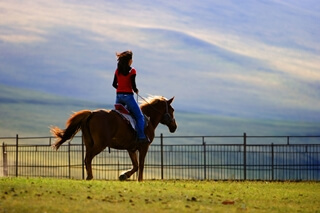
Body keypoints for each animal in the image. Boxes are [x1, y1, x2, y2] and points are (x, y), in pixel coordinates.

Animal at [50, 95, 178, 181]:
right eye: (172, 110)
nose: (174, 126)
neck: (148, 119)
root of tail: (91, 113)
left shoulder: (131, 149)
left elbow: (136, 165)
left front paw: (123, 175)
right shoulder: (144, 147)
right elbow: (141, 164)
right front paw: (139, 180)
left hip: (89, 143)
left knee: (86, 159)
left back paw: (89, 176)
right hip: (100, 145)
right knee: (88, 158)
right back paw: (90, 176)